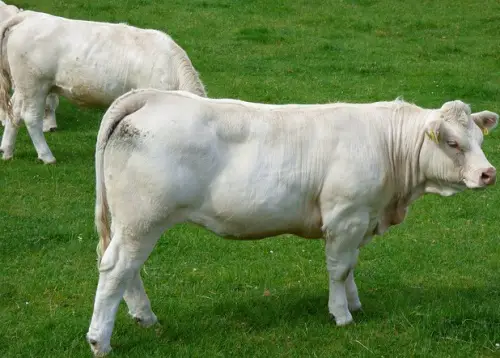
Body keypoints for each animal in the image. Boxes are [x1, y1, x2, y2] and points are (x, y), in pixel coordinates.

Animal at [86, 89, 496, 356]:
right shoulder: (345, 217)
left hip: (132, 223)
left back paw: (145, 317)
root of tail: (153, 97)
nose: (488, 173)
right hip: (143, 218)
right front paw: (342, 314)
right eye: (453, 143)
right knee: (116, 269)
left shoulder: (360, 219)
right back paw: (100, 341)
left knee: (126, 268)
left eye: (479, 138)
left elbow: (351, 268)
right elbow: (339, 269)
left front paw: (355, 303)